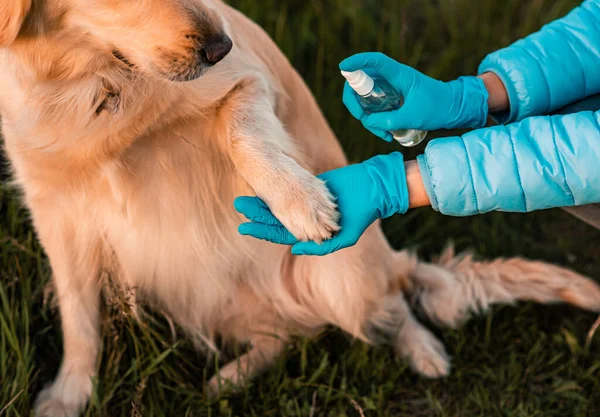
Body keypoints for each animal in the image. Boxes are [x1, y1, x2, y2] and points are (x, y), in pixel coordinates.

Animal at [3, 0, 600, 416]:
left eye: (226, 53)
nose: (218, 46)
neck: (93, 81)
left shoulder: (246, 80)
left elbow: (242, 131)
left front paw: (301, 201)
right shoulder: (53, 208)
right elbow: (79, 317)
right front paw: (69, 395)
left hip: (342, 273)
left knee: (386, 304)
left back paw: (424, 349)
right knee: (290, 335)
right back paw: (229, 379)